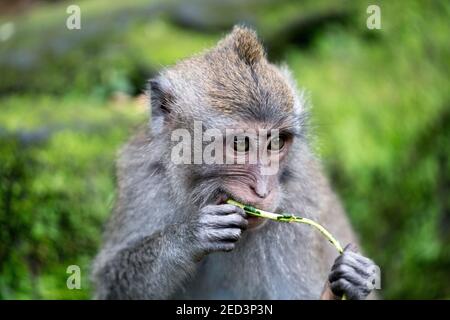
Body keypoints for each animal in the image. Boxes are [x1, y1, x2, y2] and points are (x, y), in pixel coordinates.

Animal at [92, 25, 380, 300]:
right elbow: (109, 282)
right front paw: (188, 237)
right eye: (240, 144)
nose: (263, 191)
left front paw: (351, 280)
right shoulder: (142, 178)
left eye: (276, 142)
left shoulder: (298, 201)